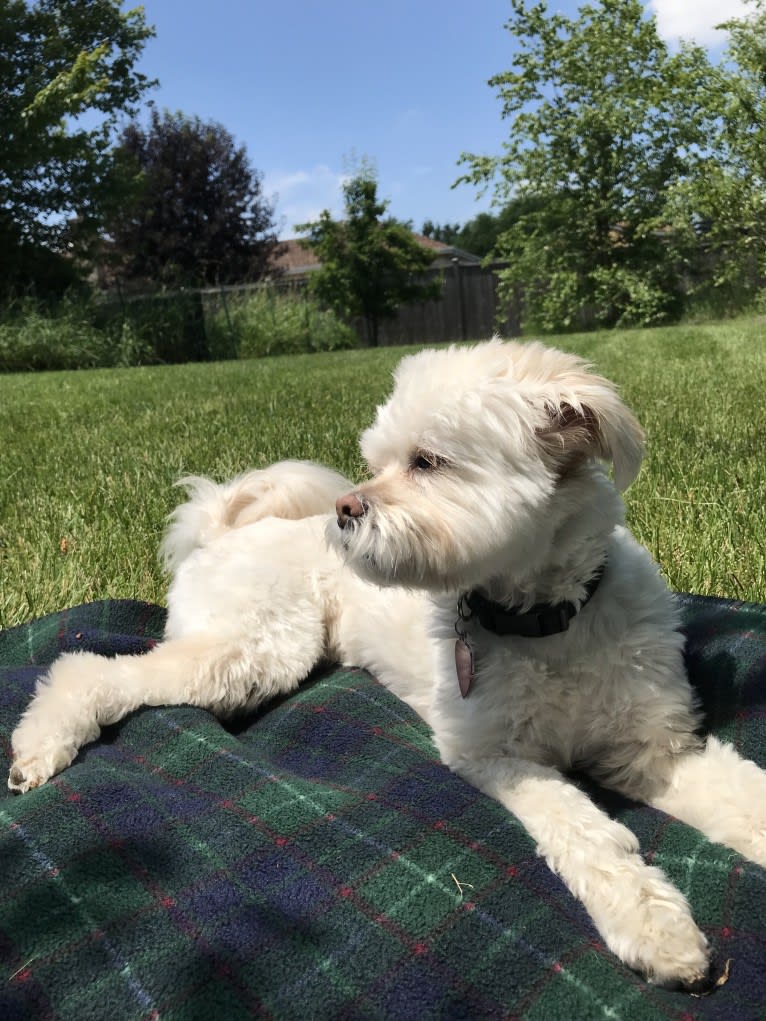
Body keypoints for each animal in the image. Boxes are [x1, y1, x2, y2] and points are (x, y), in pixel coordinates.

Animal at [7, 341, 766, 988]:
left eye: (427, 461)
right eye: (379, 459)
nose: (345, 508)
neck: (547, 622)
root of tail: (224, 527)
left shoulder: (654, 748)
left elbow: (738, 794)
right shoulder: (492, 754)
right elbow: (583, 830)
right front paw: (651, 925)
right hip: (257, 650)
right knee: (93, 669)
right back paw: (42, 746)